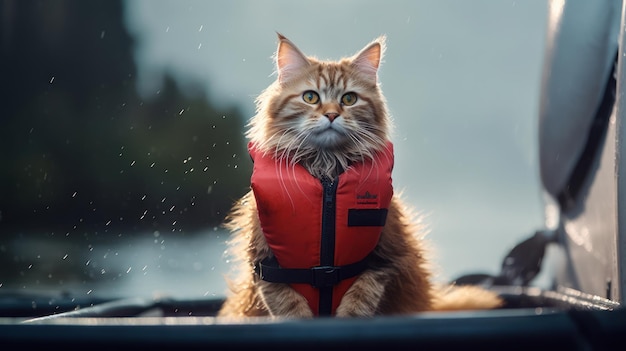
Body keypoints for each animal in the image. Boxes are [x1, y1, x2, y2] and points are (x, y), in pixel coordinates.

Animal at [217, 33, 500, 320]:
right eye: (311, 97)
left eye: (349, 99)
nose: (332, 114)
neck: (327, 170)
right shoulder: (265, 264)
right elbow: (290, 307)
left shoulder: (382, 259)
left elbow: (359, 300)